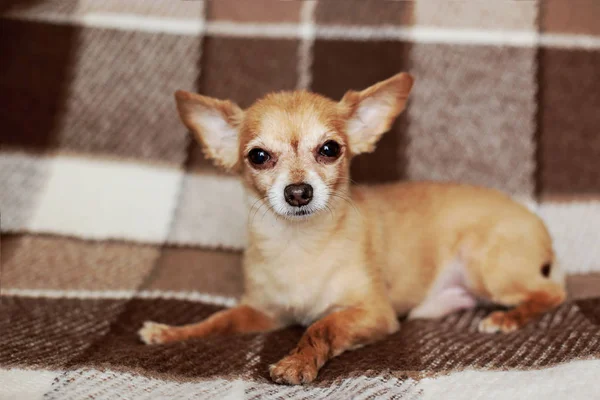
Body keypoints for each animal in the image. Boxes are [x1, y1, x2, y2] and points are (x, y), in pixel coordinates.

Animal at [139, 71, 568, 384]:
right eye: (258, 157)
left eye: (329, 150)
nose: (299, 192)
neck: (299, 246)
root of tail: (538, 224)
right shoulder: (263, 312)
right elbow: (219, 320)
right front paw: (171, 333)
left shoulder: (372, 313)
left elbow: (322, 326)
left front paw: (296, 363)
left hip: (488, 269)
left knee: (551, 293)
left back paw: (507, 318)